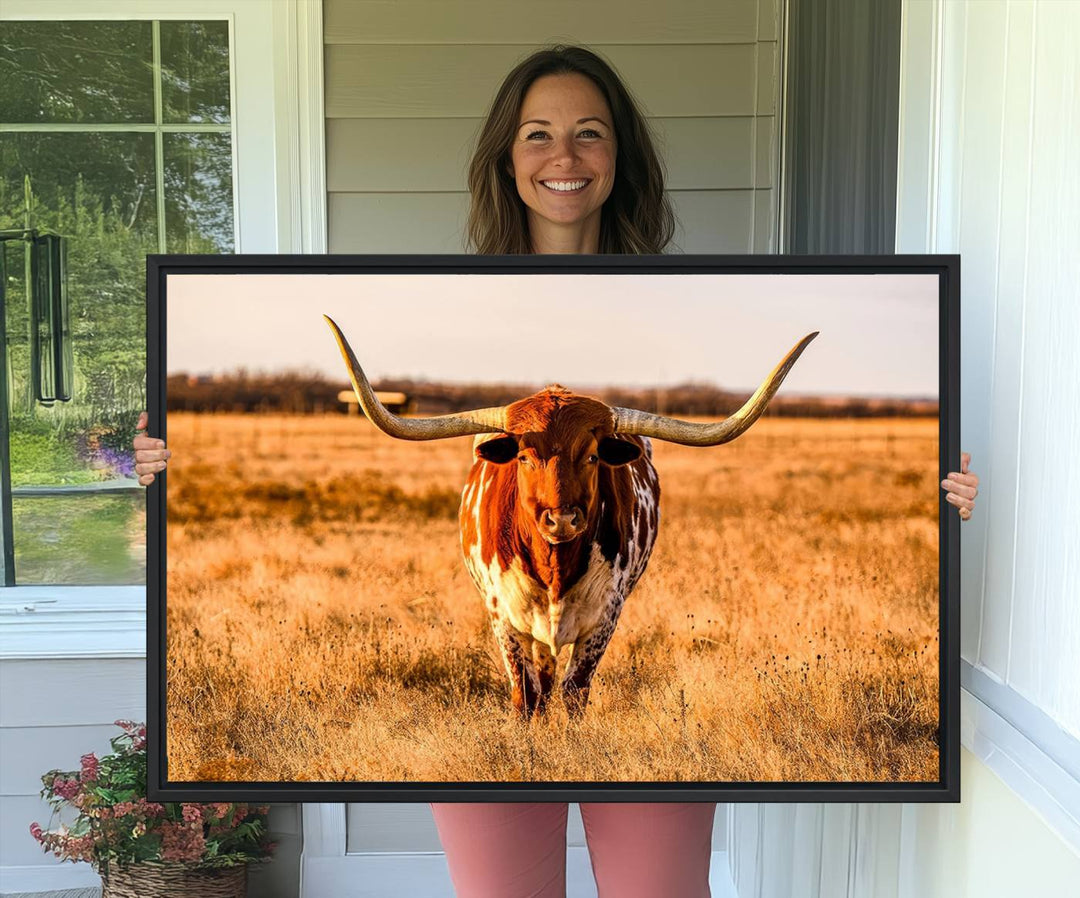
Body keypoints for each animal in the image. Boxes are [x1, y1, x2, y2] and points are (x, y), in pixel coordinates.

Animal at [324, 315, 812, 717]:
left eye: (592, 455)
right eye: (523, 457)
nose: (561, 521)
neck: (555, 566)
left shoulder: (604, 617)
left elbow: (575, 691)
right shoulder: (504, 619)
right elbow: (526, 695)